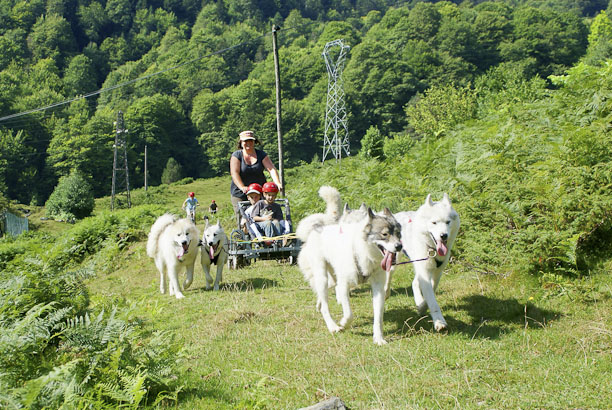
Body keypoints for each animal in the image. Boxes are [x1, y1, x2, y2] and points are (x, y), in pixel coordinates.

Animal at [298, 187, 404, 344]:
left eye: (398, 234)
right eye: (384, 234)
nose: (399, 246)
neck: (363, 252)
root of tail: (317, 228)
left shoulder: (378, 287)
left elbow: (378, 316)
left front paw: (378, 338)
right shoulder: (343, 285)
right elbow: (349, 314)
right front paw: (343, 323)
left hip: (332, 277)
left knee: (325, 295)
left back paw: (320, 304)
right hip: (322, 277)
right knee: (325, 305)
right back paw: (332, 326)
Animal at [392, 194, 460, 332]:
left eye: (448, 222)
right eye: (434, 222)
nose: (443, 235)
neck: (432, 249)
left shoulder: (437, 272)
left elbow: (431, 291)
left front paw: (422, 306)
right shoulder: (425, 271)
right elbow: (432, 300)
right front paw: (439, 322)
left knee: (414, 283)